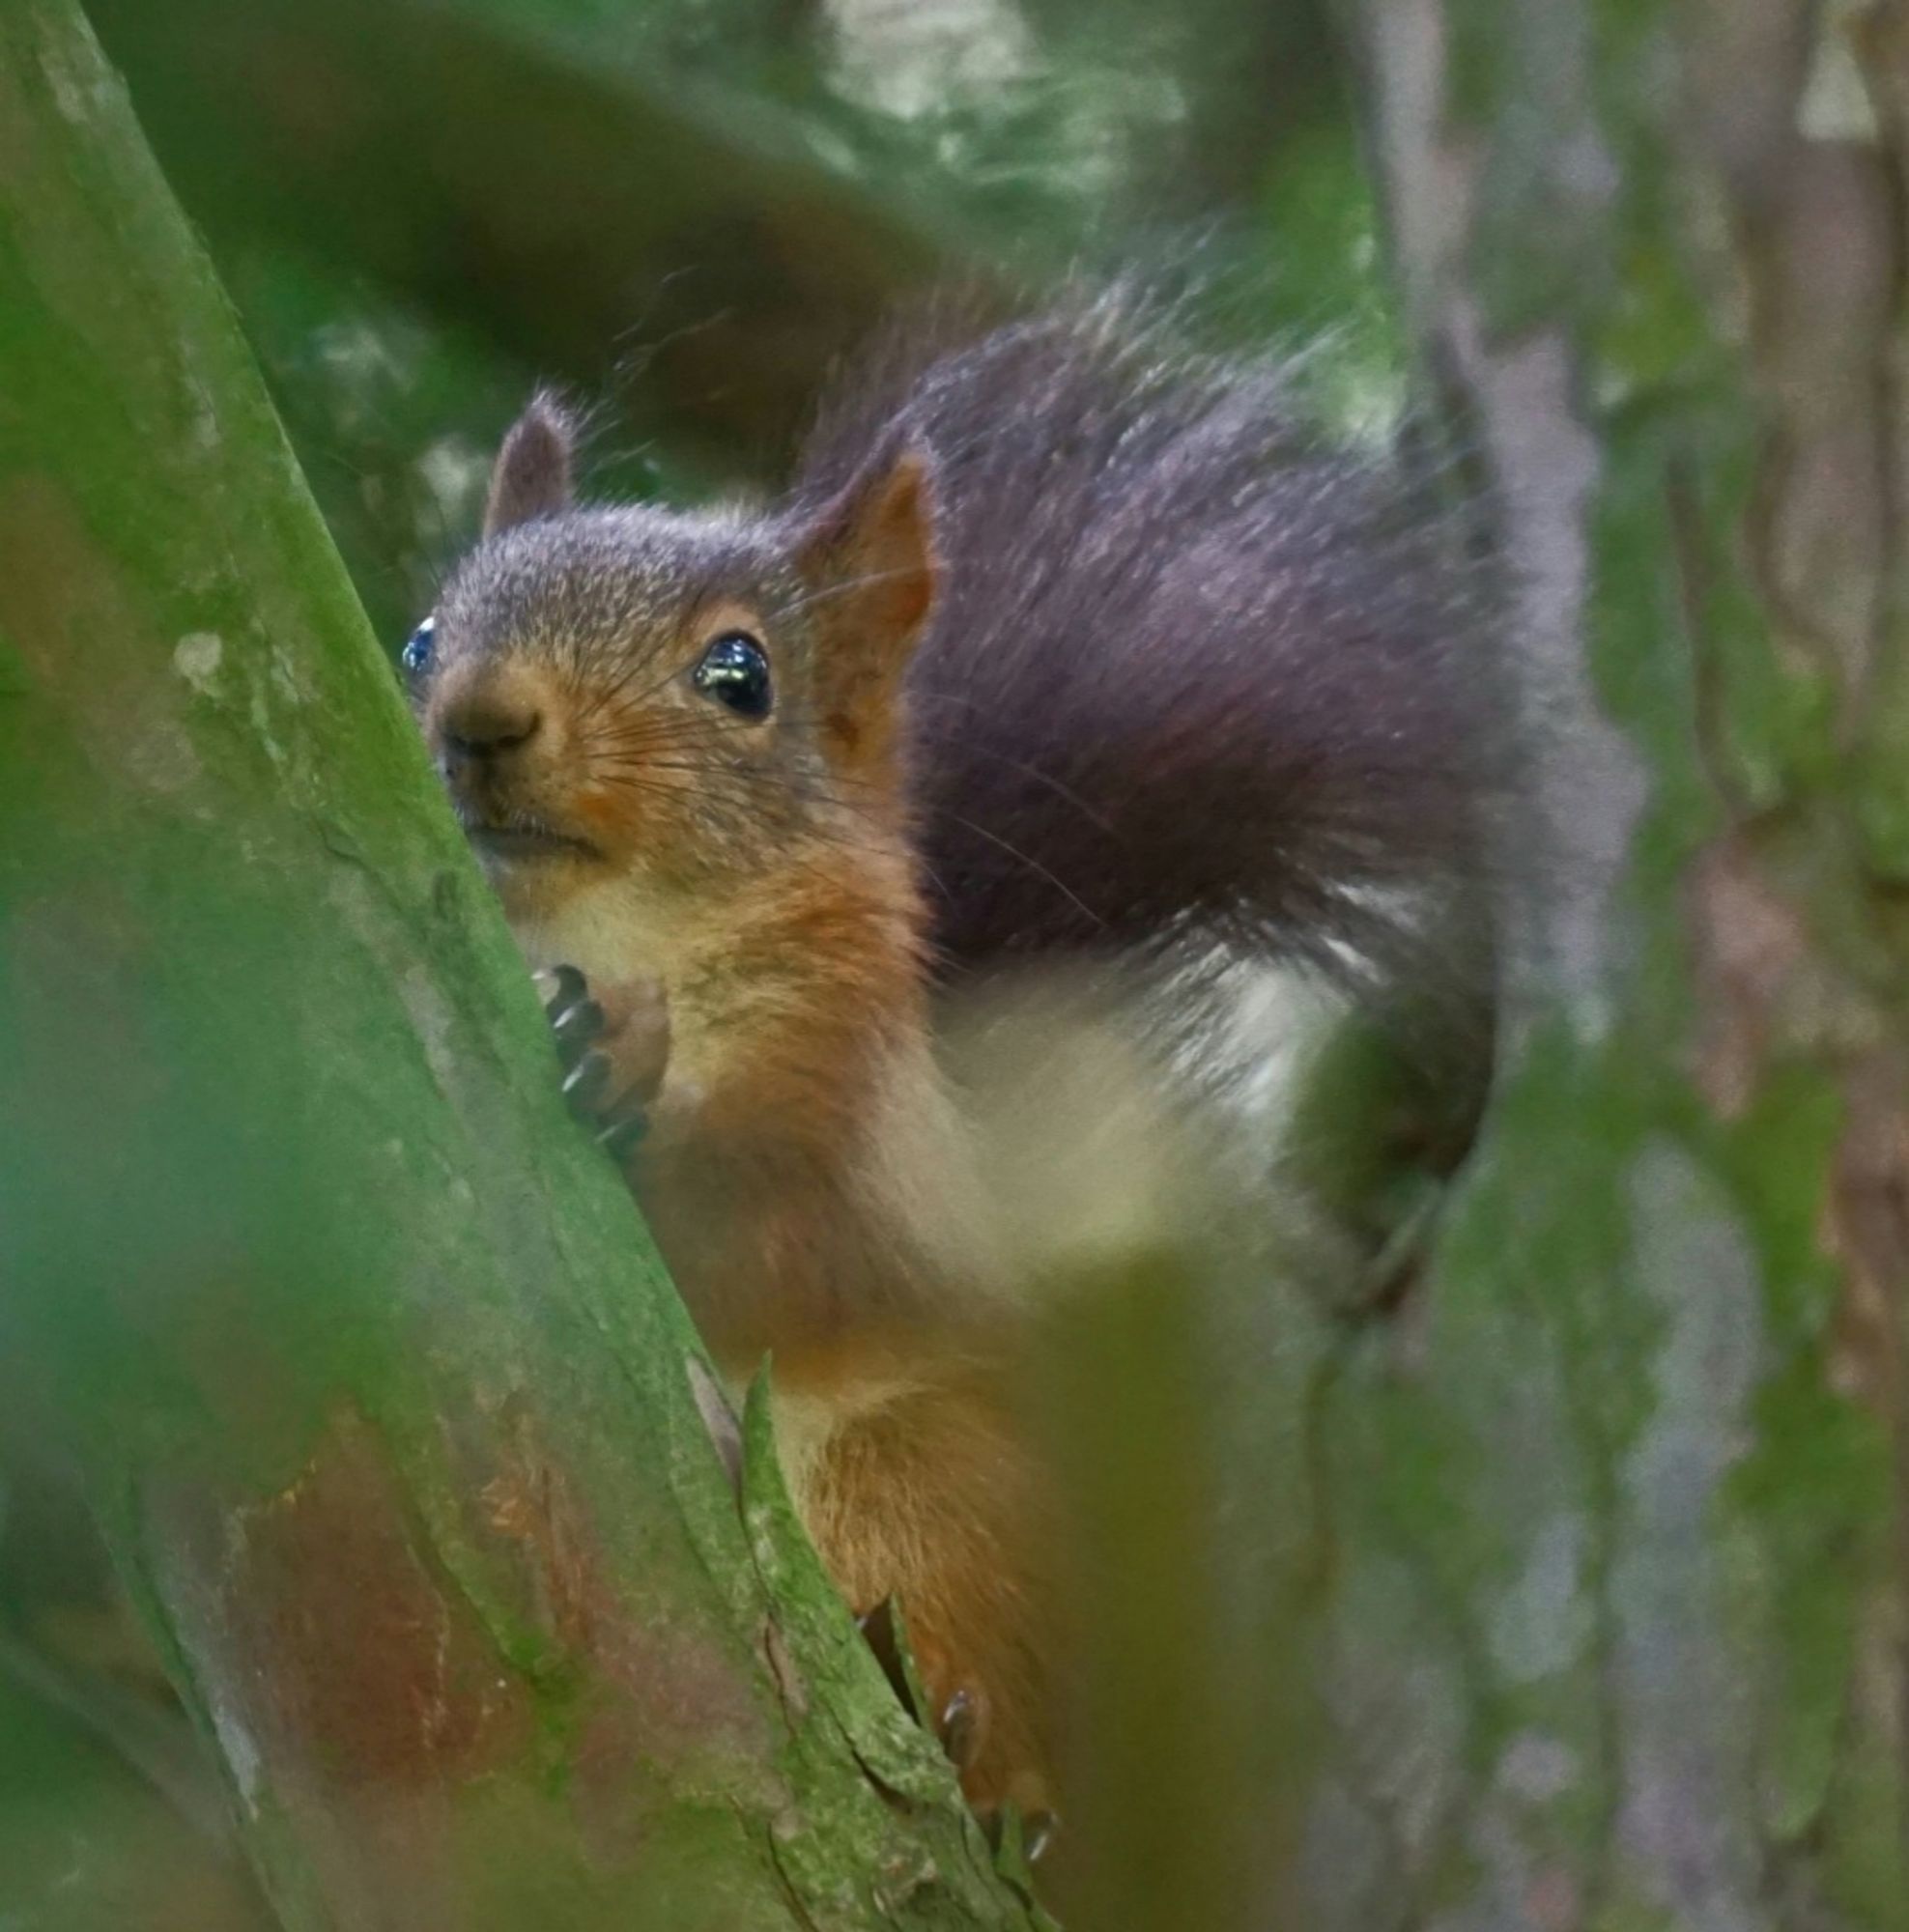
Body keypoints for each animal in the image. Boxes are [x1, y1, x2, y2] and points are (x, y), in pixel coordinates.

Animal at [406, 290, 1507, 1839]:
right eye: (419, 636)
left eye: (739, 675)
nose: (480, 717)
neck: (621, 940)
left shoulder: (855, 1124)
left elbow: (771, 1247)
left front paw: (611, 1066)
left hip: (916, 1484)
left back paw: (983, 1762)